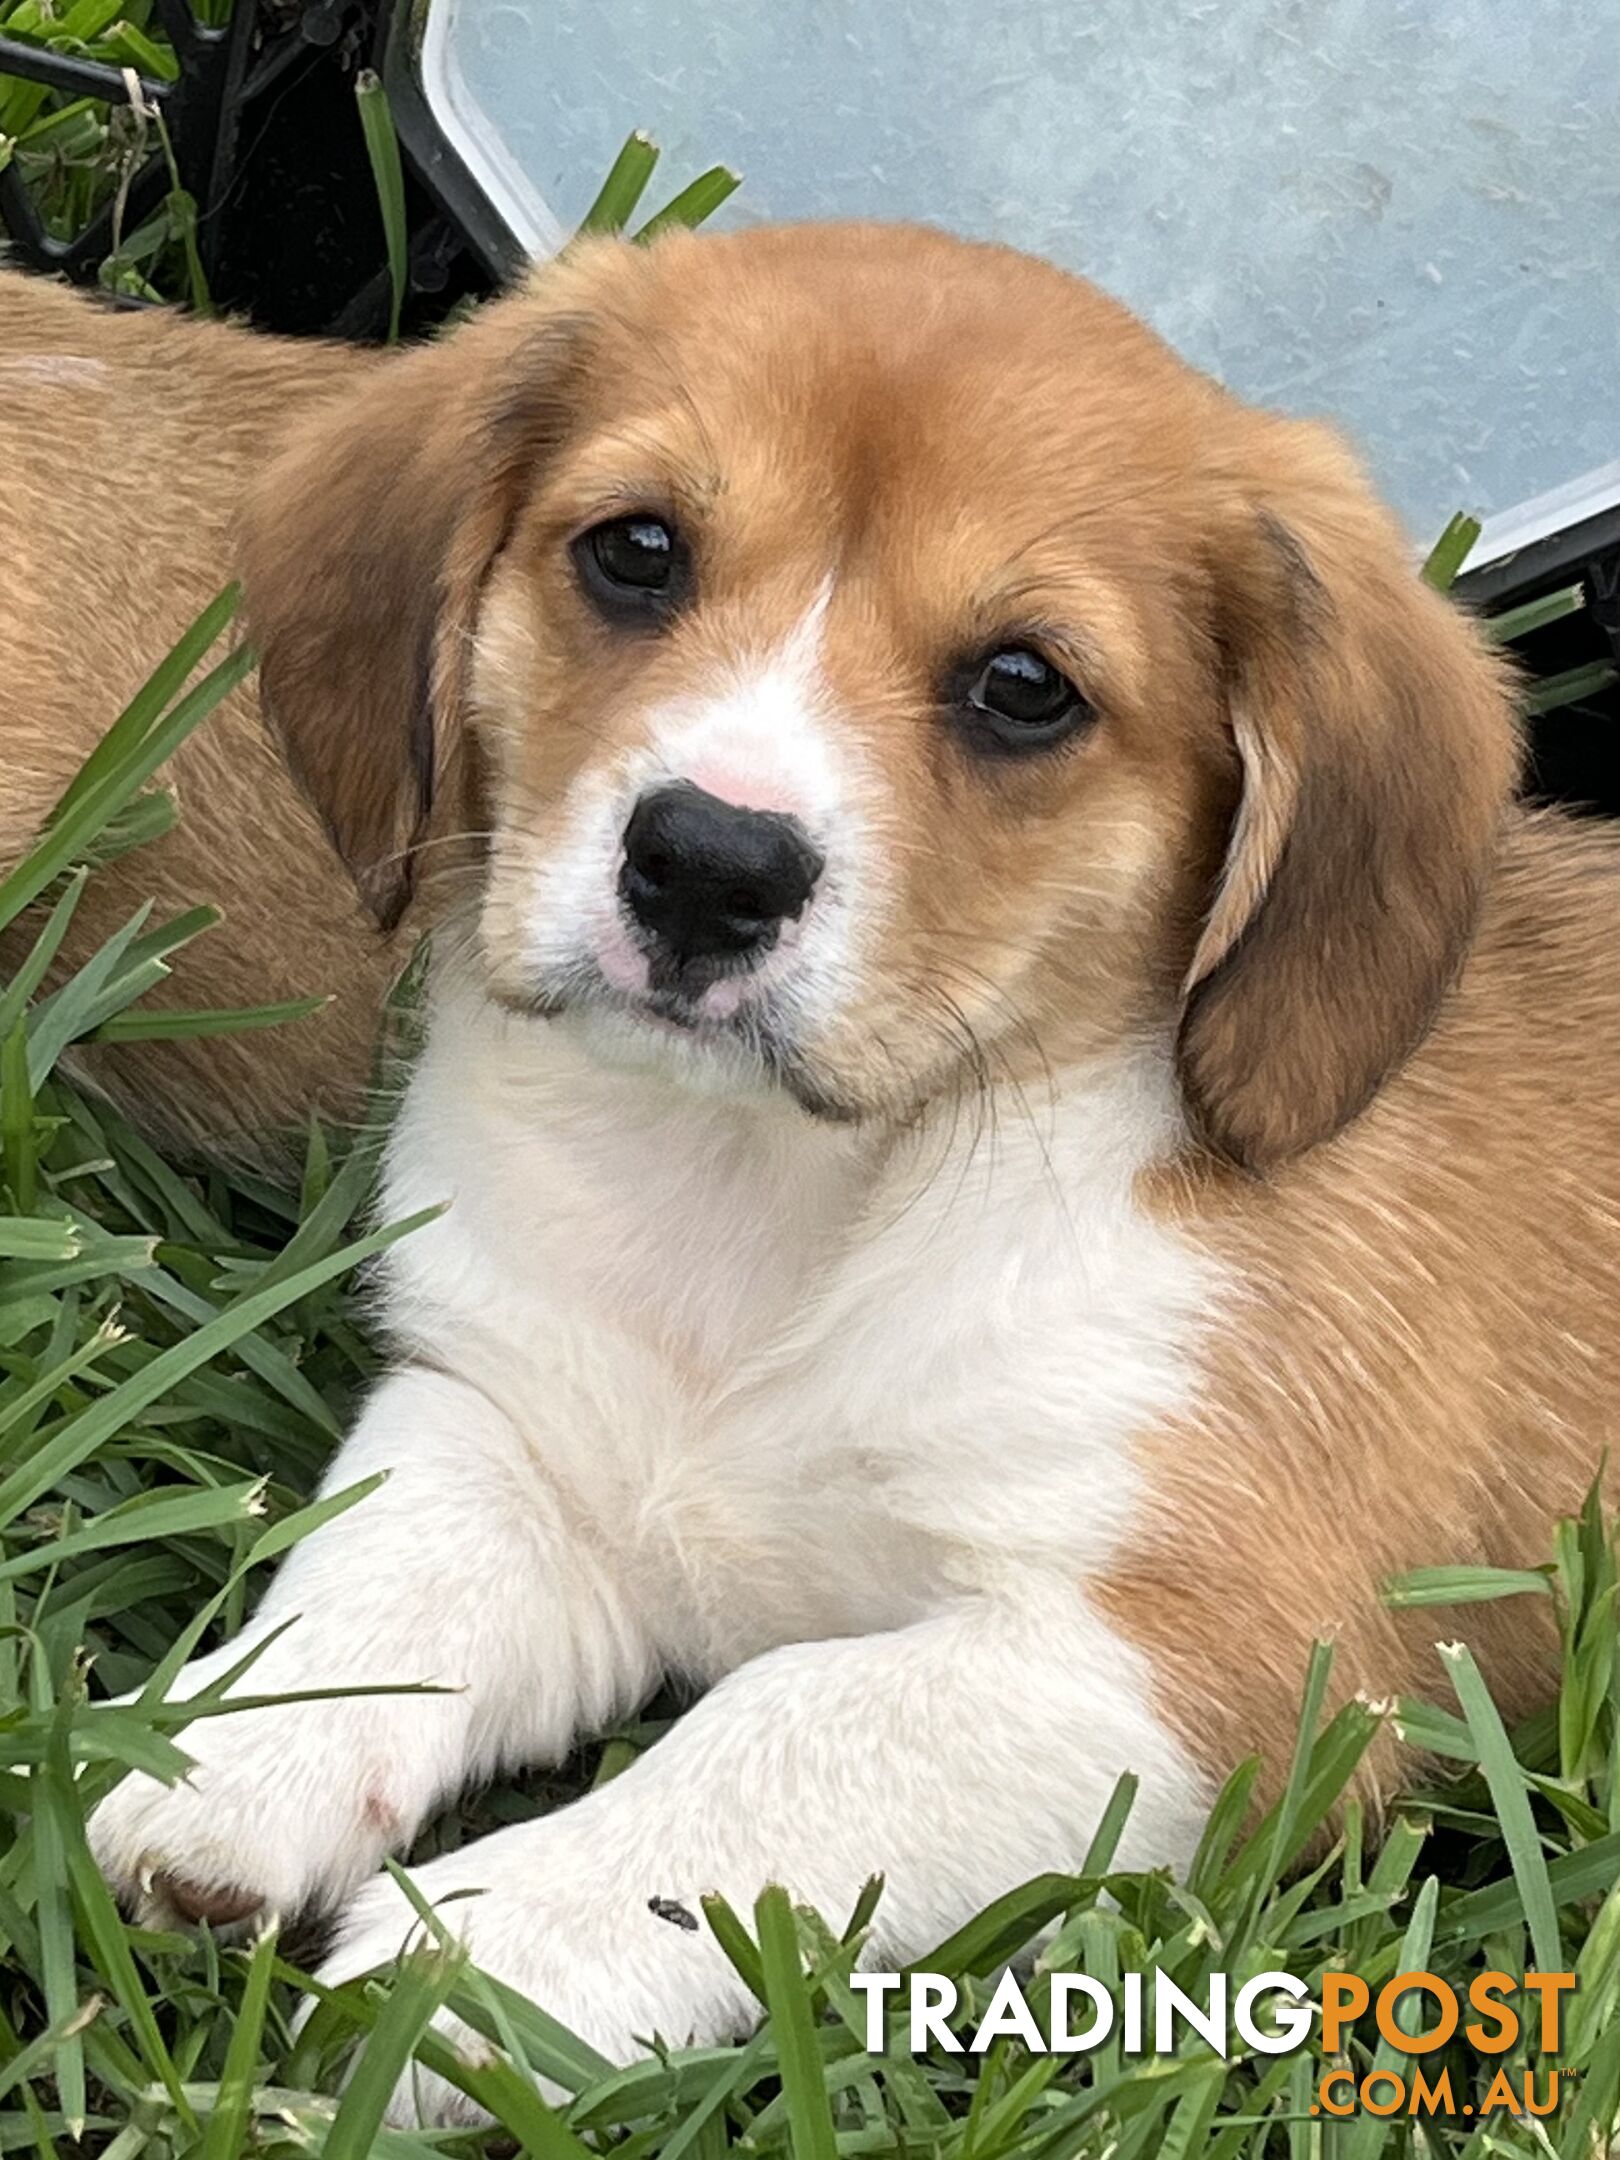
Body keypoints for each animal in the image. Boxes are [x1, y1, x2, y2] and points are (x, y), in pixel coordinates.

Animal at [28, 227, 1620, 2116]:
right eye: (637, 551)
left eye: (1025, 686)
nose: (708, 864)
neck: (776, 1206)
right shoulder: (519, 1435)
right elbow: (381, 1575)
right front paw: (226, 1764)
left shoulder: (1190, 1674)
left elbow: (768, 1734)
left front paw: (472, 1965)